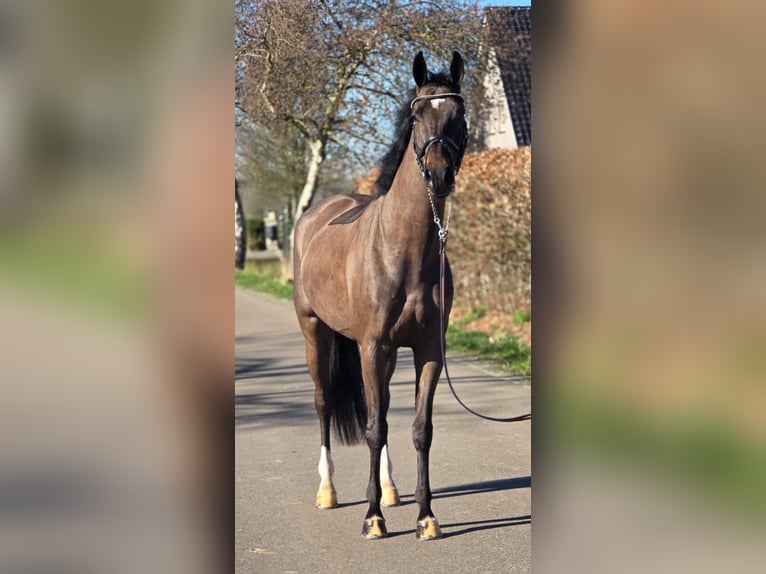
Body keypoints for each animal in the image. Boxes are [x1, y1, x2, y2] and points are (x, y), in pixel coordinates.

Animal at [292, 51, 467, 540]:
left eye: (458, 114)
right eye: (416, 115)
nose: (440, 174)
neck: (403, 249)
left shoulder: (427, 351)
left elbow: (419, 429)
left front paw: (426, 516)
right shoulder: (371, 346)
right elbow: (373, 427)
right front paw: (373, 518)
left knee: (384, 407)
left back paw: (389, 490)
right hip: (315, 332)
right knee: (324, 403)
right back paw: (328, 492)